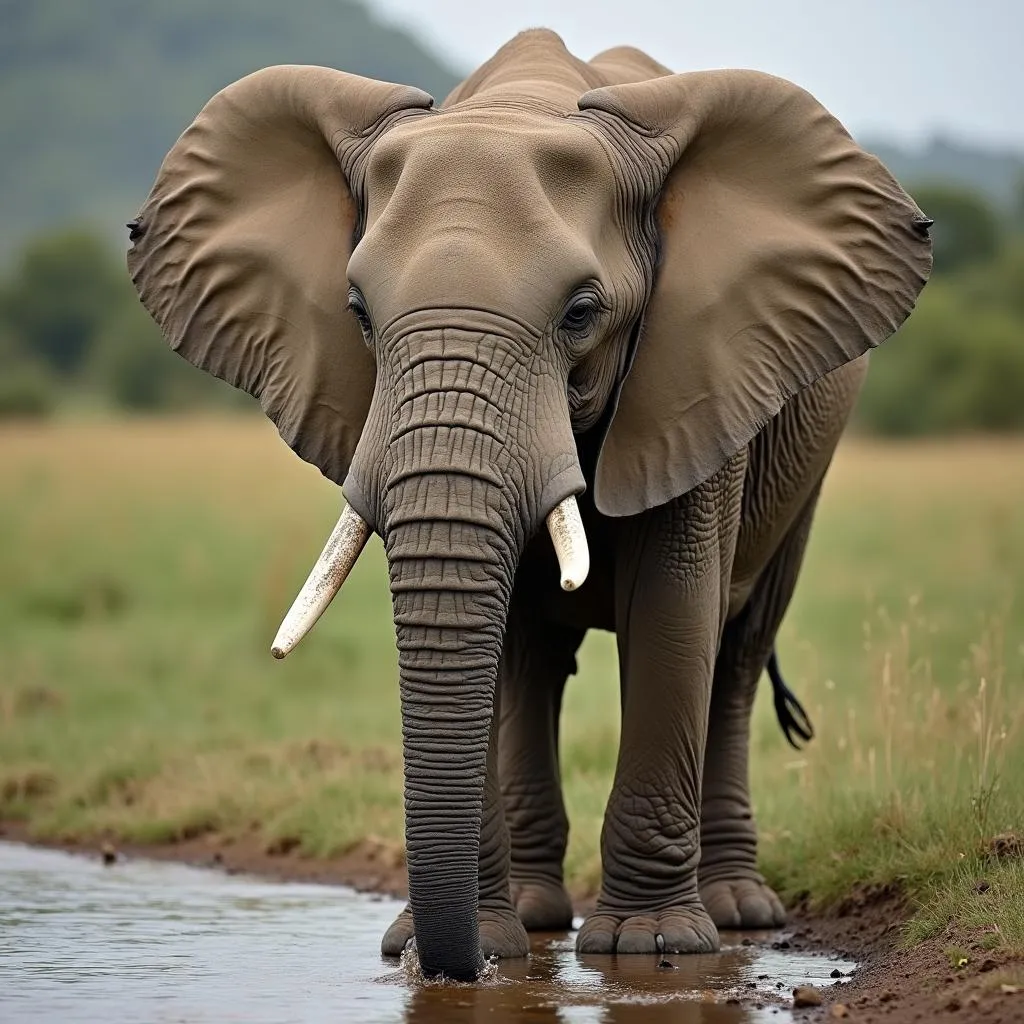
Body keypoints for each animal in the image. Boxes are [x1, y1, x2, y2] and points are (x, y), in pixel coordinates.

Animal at [123, 28, 933, 978]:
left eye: (582, 313)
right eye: (357, 313)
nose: (448, 965)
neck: (524, 104)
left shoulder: (697, 373)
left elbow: (674, 611)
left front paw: (652, 945)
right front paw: (469, 945)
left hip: (804, 462)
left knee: (737, 651)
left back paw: (736, 915)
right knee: (533, 662)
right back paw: (541, 919)